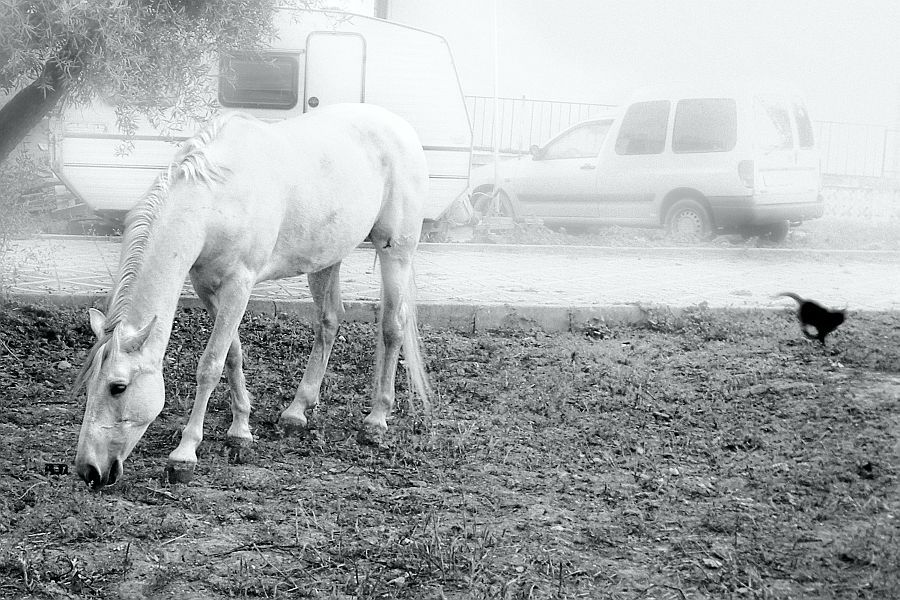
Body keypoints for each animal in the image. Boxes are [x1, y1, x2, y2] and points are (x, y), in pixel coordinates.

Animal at [74, 102, 432, 488]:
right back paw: (296, 412)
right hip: (325, 259)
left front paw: (185, 455)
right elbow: (233, 355)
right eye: (89, 385)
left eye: (118, 387)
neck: (217, 197)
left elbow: (210, 365)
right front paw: (240, 432)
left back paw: (376, 421)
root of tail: (399, 126)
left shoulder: (239, 285)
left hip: (396, 251)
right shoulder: (207, 287)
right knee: (329, 322)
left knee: (392, 327)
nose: (89, 470)